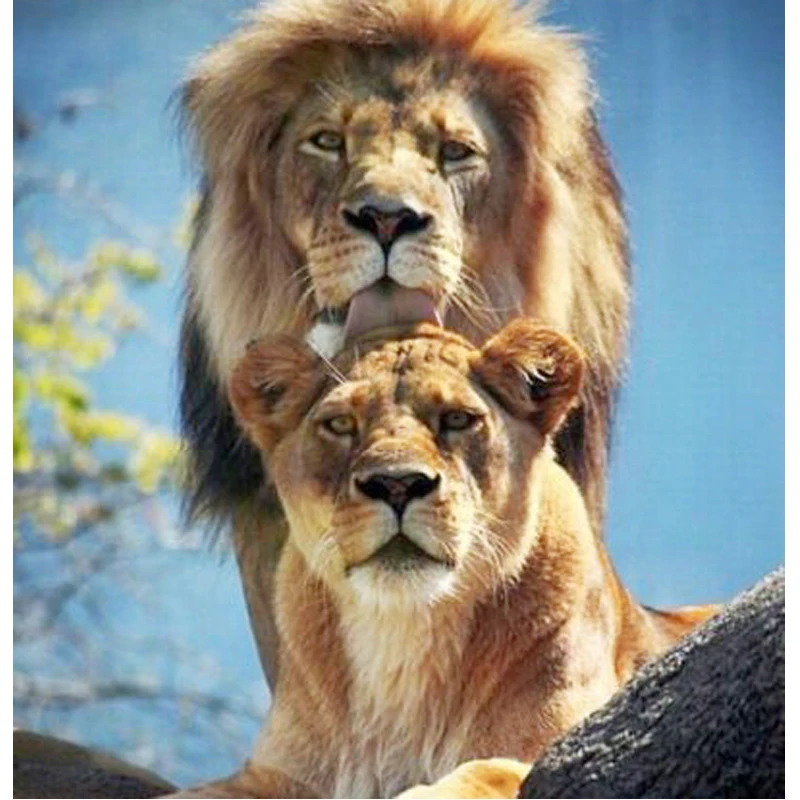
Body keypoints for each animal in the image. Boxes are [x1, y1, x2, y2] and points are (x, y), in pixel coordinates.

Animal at [168, 320, 716, 799]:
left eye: (456, 419)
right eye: (341, 424)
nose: (396, 483)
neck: (400, 627)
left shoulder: (553, 744)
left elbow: (477, 774)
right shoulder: (274, 777)